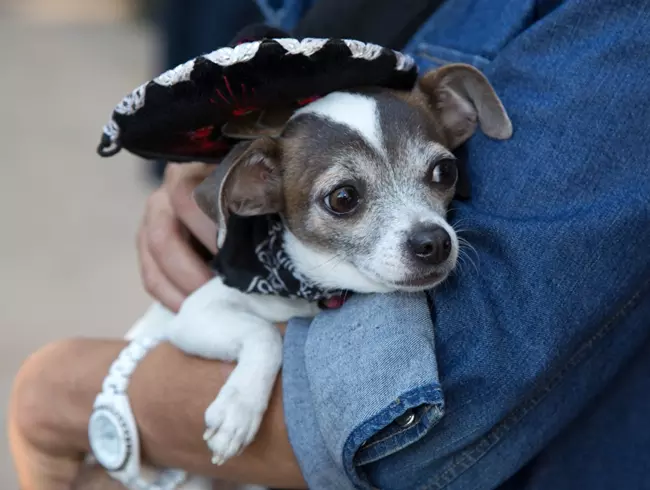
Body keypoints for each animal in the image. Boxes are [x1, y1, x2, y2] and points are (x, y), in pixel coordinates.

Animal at [125, 63, 512, 488]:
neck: (311, 289)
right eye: (343, 198)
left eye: (445, 171)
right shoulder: (193, 313)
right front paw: (238, 409)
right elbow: (264, 333)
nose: (435, 241)